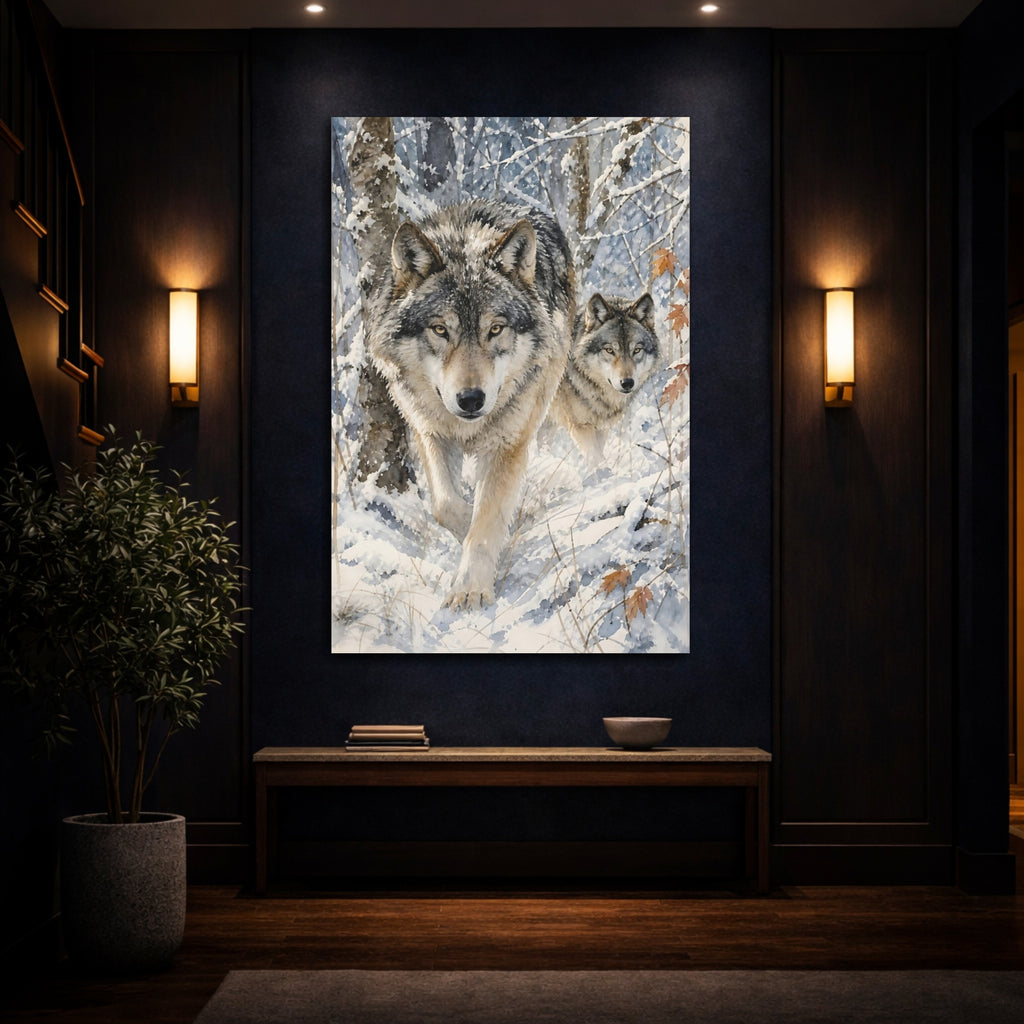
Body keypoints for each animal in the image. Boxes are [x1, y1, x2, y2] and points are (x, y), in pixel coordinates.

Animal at [364, 199, 575, 610]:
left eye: (495, 329)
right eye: (440, 329)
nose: (472, 399)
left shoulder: (507, 444)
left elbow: (486, 520)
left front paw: (470, 588)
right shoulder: (429, 432)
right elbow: (447, 507)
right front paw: (473, 535)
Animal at [549, 292, 662, 468]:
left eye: (637, 350)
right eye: (609, 350)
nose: (627, 383)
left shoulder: (602, 427)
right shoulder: (581, 427)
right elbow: (596, 458)